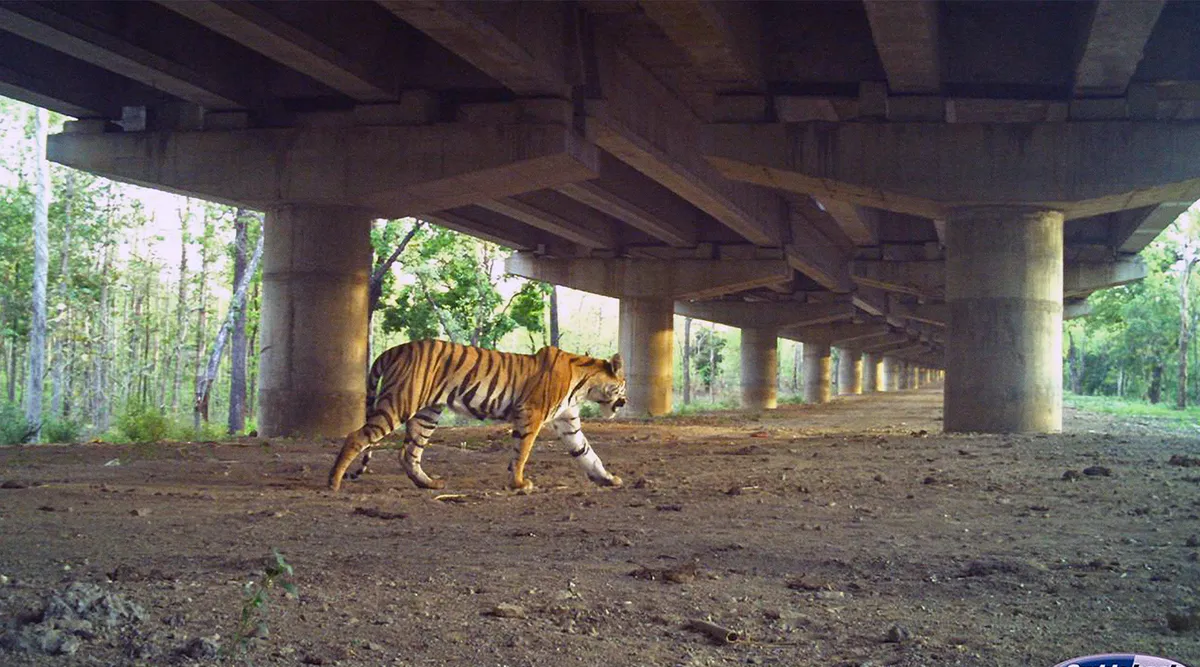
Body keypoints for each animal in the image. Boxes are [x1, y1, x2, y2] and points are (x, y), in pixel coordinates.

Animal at [328, 339, 627, 493]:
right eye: (623, 384)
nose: (625, 402)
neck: (585, 386)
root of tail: (395, 349)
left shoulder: (568, 422)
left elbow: (587, 453)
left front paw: (608, 478)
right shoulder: (531, 414)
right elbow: (522, 451)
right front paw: (519, 483)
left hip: (427, 412)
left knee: (408, 454)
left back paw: (430, 484)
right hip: (399, 403)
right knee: (357, 437)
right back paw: (334, 482)